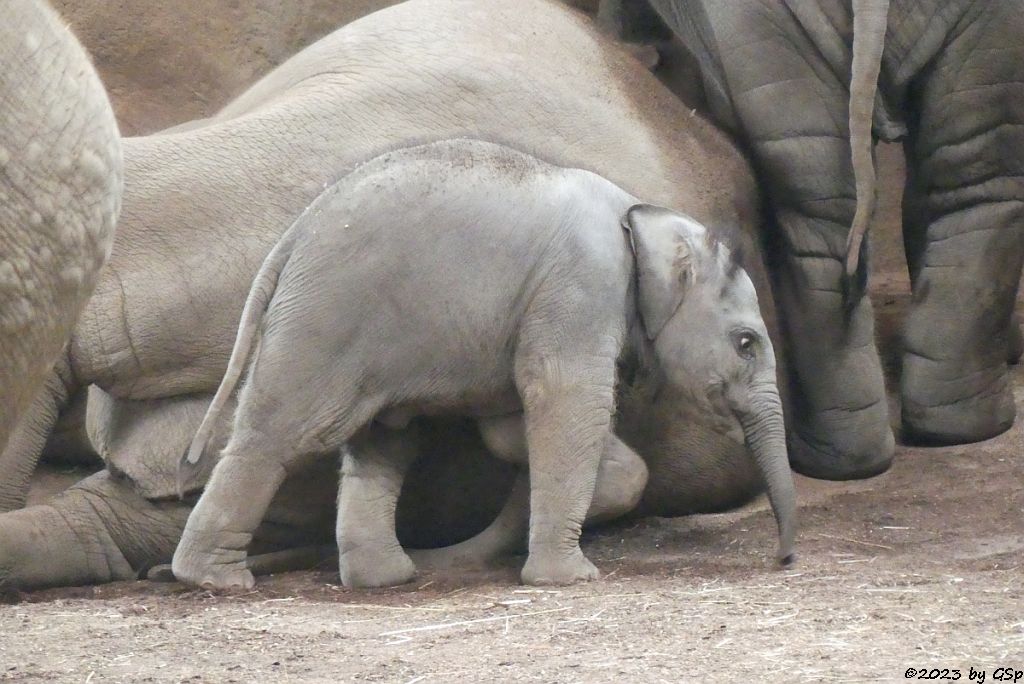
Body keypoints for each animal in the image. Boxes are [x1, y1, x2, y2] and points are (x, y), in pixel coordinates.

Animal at [174, 139, 798, 589]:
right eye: (746, 343)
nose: (784, 559)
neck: (641, 216)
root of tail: (291, 237)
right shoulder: (578, 288)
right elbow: (565, 398)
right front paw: (570, 579)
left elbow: (509, 429)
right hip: (325, 319)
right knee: (282, 433)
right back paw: (216, 581)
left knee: (384, 443)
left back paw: (386, 578)